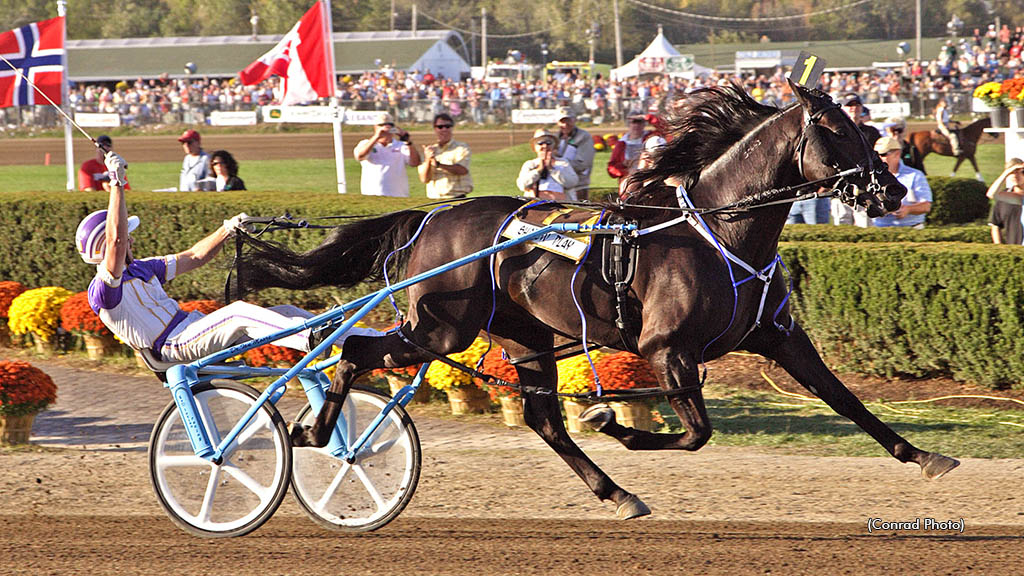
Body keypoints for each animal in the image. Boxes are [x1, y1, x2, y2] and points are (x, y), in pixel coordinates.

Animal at [239, 80, 958, 516]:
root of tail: (431, 217)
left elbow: (845, 398)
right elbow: (696, 432)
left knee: (543, 419)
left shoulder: (777, 337)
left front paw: (924, 456)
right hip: (440, 327)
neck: (716, 231)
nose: (893, 191)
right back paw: (318, 429)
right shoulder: (667, 348)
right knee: (353, 350)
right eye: (836, 130)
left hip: (523, 336)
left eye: (866, 128)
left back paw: (614, 492)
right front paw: (616, 422)